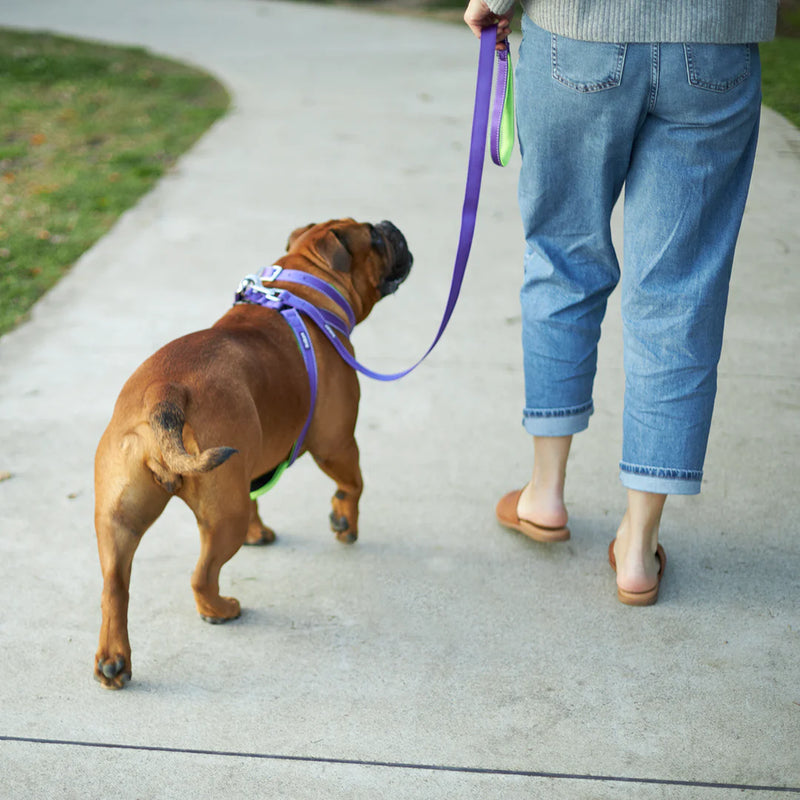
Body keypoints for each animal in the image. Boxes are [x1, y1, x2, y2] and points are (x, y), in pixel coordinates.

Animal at [95, 219, 412, 688]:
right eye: (372, 235)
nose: (390, 225)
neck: (303, 289)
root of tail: (163, 393)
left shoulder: (253, 466)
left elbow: (259, 497)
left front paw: (259, 532)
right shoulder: (337, 443)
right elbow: (353, 484)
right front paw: (344, 521)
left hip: (118, 519)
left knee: (114, 588)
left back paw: (113, 662)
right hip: (223, 516)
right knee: (201, 576)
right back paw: (220, 610)